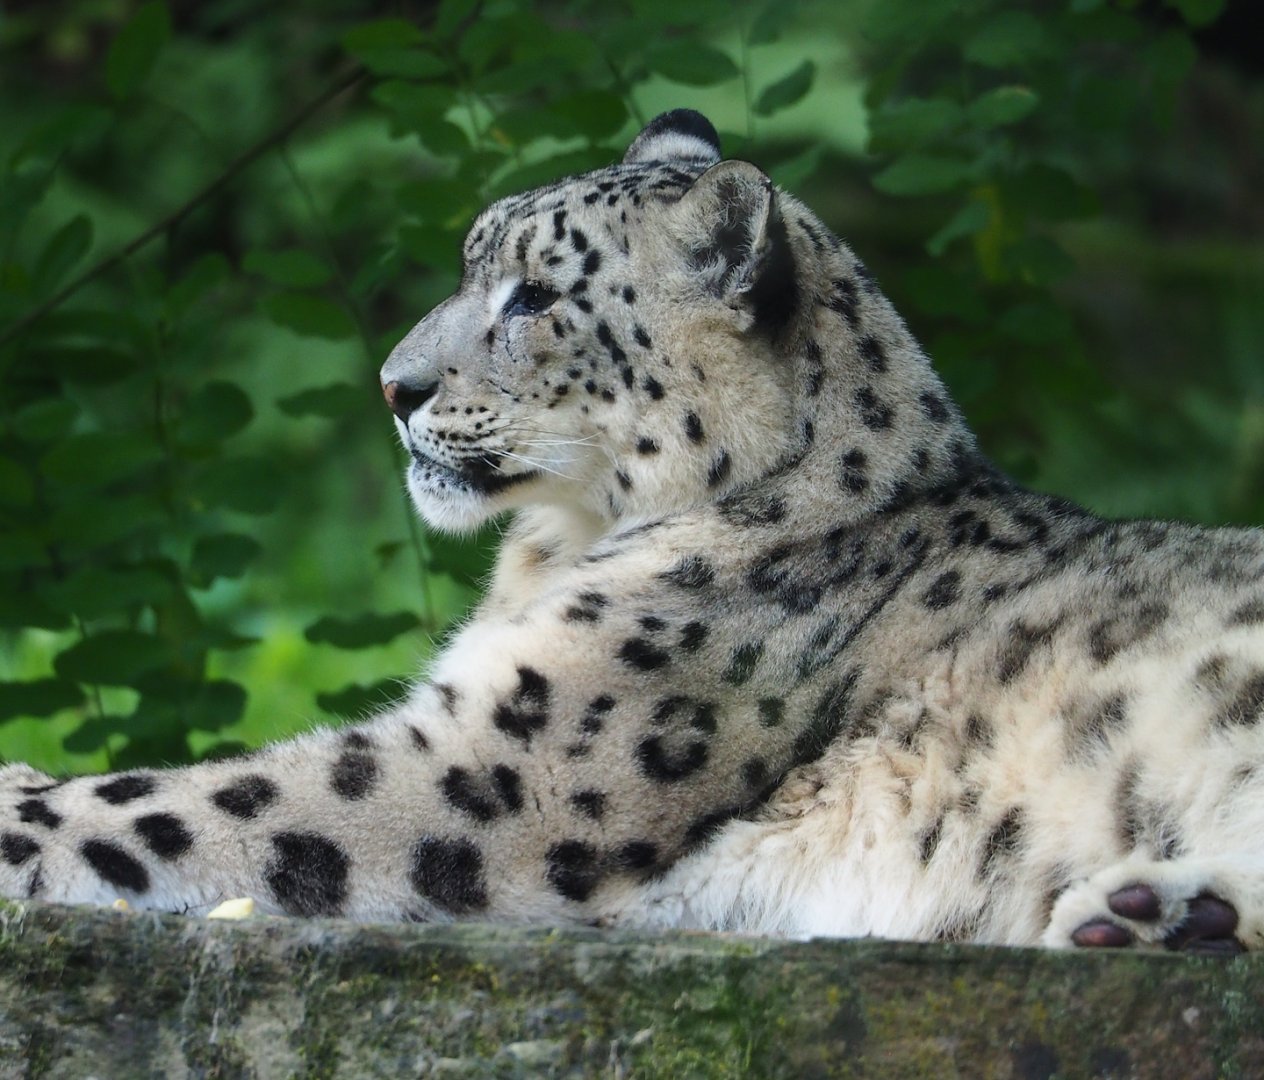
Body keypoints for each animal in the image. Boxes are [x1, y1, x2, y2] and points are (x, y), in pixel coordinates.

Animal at [3, 109, 1263, 954]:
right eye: (471, 265)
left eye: (534, 296)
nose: (393, 386)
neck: (548, 556)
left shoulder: (490, 773)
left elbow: (189, 801)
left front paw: (23, 798)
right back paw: (1153, 914)